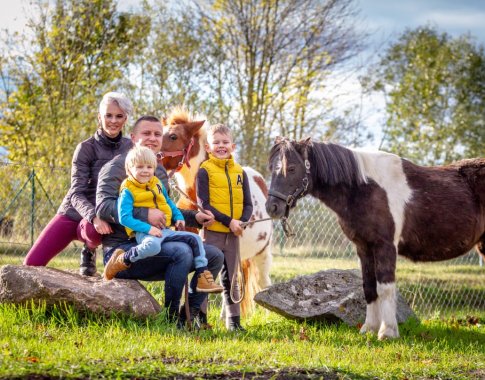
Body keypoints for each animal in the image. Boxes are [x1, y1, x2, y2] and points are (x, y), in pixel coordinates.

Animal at [264, 137, 484, 338]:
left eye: (292, 168)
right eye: (271, 168)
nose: (272, 207)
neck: (366, 188)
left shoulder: (385, 246)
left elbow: (385, 288)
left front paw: (388, 332)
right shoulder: (364, 247)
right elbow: (369, 288)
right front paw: (368, 329)